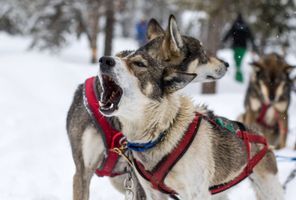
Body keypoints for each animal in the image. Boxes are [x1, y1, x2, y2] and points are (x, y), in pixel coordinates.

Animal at [96, 51, 284, 200]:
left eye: (139, 64)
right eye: (118, 56)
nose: (104, 60)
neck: (164, 130)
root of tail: (262, 139)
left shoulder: (196, 193)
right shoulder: (153, 193)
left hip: (268, 189)